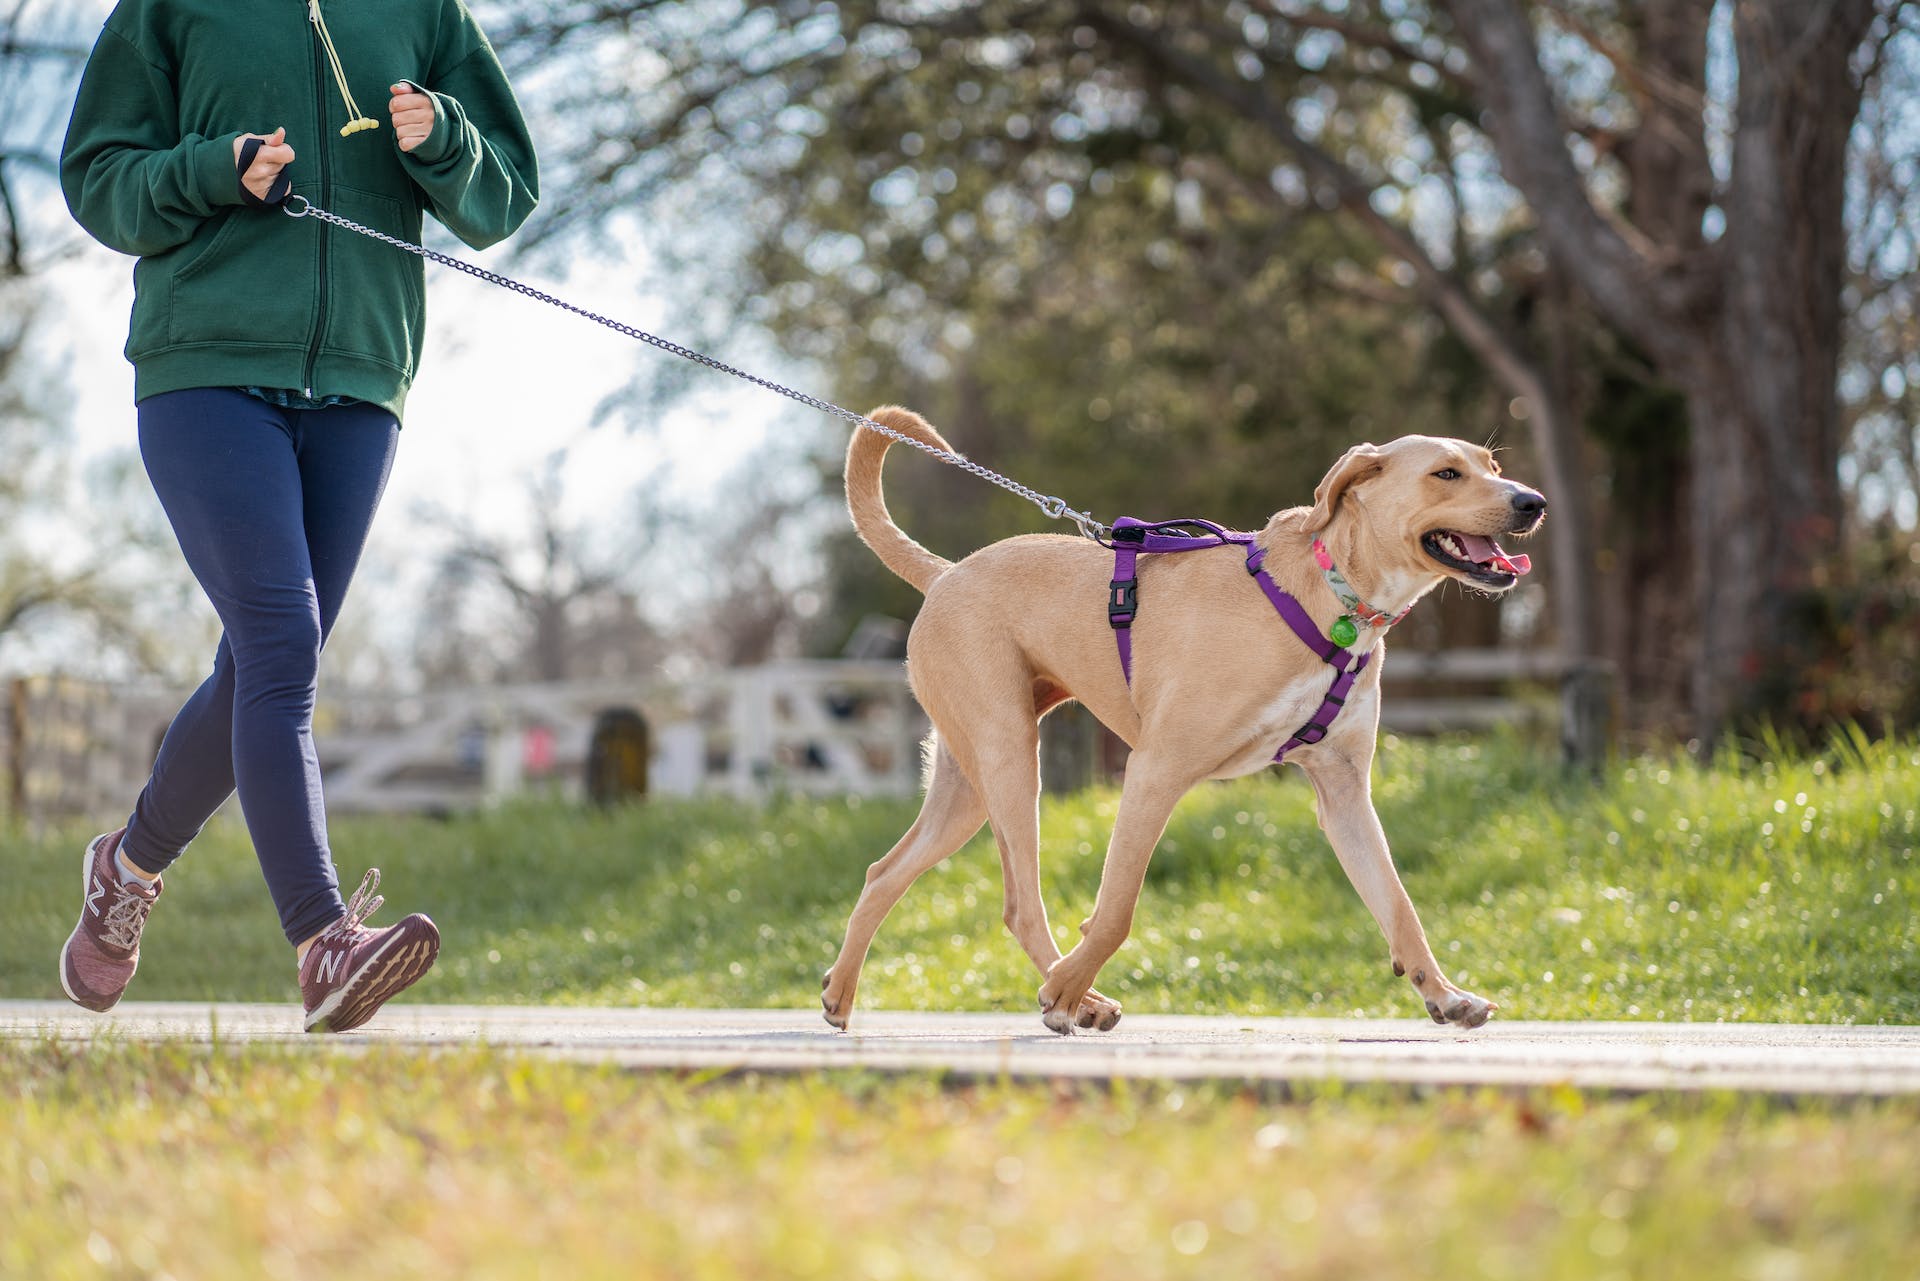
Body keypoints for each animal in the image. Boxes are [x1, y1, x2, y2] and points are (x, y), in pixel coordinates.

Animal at [821, 410, 1543, 1029]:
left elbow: (1398, 904)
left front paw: (1444, 995)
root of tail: (945, 574)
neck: (1336, 597)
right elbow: (1116, 911)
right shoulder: (1155, 770)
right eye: (1445, 473)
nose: (1532, 501)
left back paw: (840, 992)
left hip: (966, 786)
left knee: (885, 872)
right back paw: (1075, 996)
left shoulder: (1343, 794)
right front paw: (1065, 990)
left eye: (1491, 464)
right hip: (1008, 758)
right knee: (1020, 903)